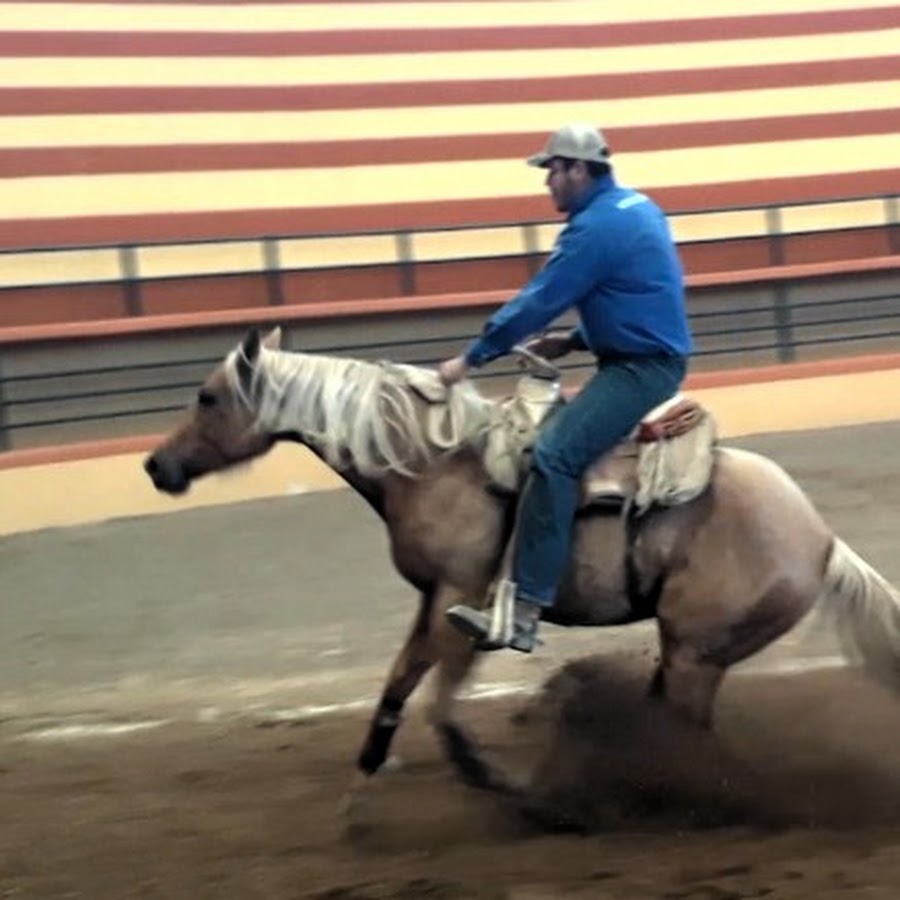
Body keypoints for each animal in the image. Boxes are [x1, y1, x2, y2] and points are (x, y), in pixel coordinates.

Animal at [144, 326, 896, 800]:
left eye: (208, 397)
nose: (157, 466)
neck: (433, 463)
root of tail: (821, 536)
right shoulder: (431, 600)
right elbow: (397, 687)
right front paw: (364, 782)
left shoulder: (463, 599)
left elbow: (442, 707)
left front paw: (494, 781)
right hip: (688, 652)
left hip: (697, 652)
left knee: (689, 733)